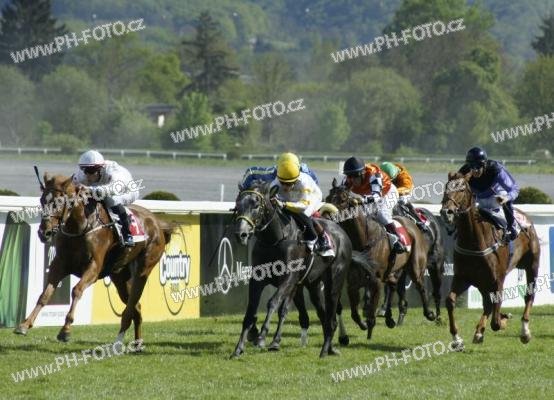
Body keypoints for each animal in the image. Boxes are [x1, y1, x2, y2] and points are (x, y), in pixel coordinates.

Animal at [14, 173, 174, 347]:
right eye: (42, 200)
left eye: (59, 202)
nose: (44, 232)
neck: (80, 227)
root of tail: (157, 223)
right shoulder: (60, 264)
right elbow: (45, 294)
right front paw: (24, 325)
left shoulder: (94, 267)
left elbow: (76, 290)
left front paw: (65, 330)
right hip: (120, 277)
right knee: (136, 307)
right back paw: (137, 344)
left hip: (143, 269)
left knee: (131, 306)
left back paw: (121, 342)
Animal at [231, 182, 352, 358]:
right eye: (238, 205)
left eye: (255, 205)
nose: (241, 234)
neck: (274, 240)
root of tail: (342, 232)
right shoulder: (258, 279)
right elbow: (250, 311)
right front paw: (238, 348)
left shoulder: (289, 278)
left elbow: (273, 302)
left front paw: (262, 337)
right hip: (313, 285)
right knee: (323, 315)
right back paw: (329, 348)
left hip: (334, 282)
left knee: (332, 317)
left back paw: (324, 350)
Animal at [325, 178, 435, 339]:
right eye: (328, 198)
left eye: (343, 199)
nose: (325, 216)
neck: (364, 240)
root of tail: (412, 223)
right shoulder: (353, 282)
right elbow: (354, 313)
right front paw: (364, 324)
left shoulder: (375, 281)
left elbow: (371, 310)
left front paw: (369, 329)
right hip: (392, 271)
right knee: (393, 285)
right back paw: (389, 317)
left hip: (415, 266)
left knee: (420, 286)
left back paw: (429, 313)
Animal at [440, 172, 540, 349]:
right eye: (446, 188)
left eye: (462, 189)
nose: (447, 212)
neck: (474, 241)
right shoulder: (463, 277)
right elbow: (450, 300)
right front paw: (457, 339)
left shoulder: (497, 280)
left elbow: (496, 321)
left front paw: (504, 319)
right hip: (482, 282)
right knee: (487, 303)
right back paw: (479, 332)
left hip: (532, 265)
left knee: (529, 295)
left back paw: (525, 331)